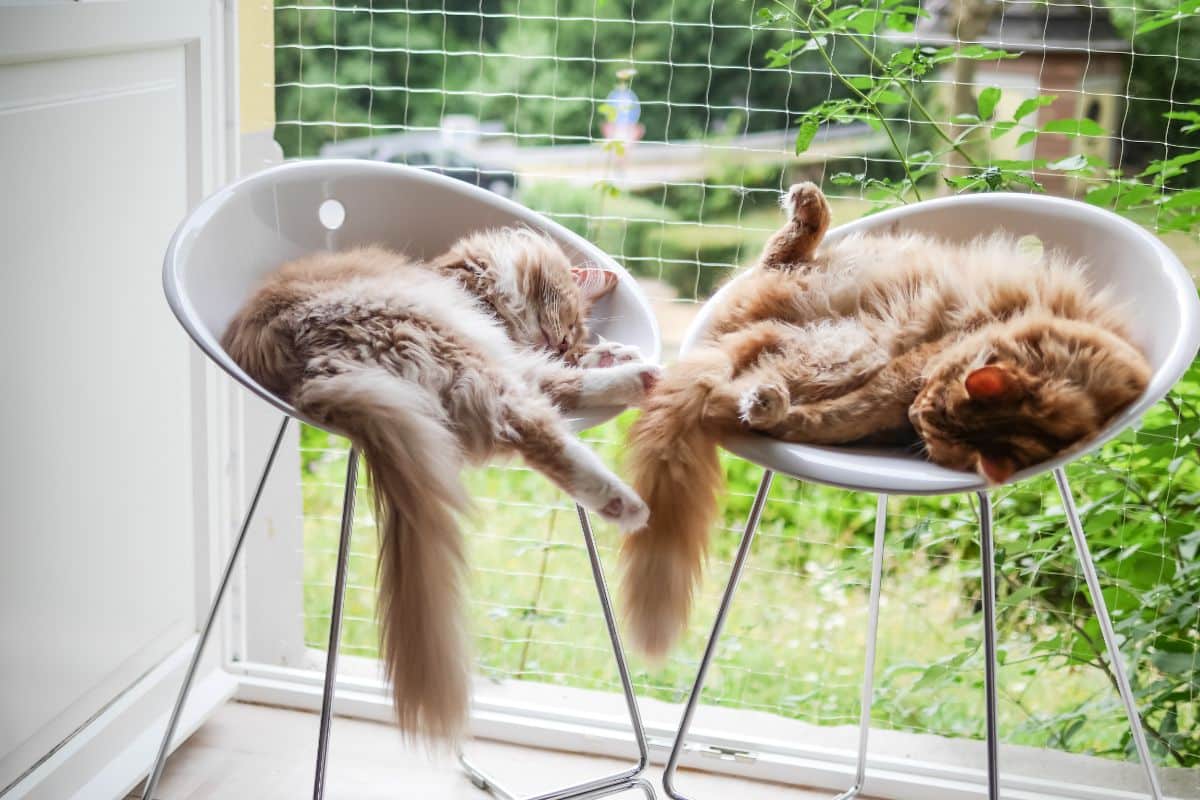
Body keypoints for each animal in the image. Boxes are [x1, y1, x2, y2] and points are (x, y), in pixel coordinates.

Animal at [619, 184, 1152, 662]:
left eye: (930, 433)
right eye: (931, 395)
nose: (914, 416)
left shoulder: (892, 390)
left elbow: (834, 419)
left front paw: (788, 417)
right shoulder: (917, 366)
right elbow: (846, 411)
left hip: (840, 352)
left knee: (730, 391)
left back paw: (765, 398)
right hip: (829, 325)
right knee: (780, 259)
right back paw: (808, 204)